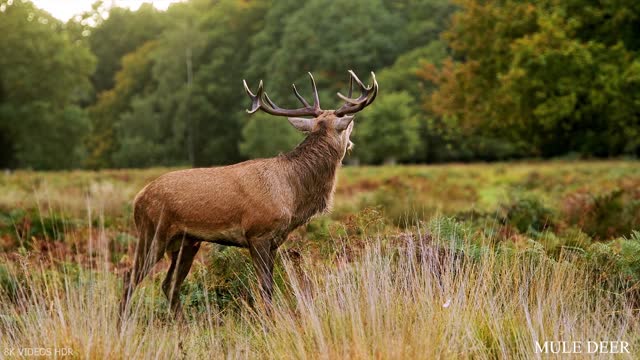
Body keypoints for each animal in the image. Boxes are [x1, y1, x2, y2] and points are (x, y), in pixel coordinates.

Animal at [118, 69, 378, 322]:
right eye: (348, 128)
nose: (352, 143)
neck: (293, 195)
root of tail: (138, 199)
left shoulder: (274, 241)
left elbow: (270, 285)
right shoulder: (258, 233)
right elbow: (266, 287)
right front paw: (270, 323)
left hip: (186, 242)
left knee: (169, 284)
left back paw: (182, 327)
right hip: (152, 232)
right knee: (130, 278)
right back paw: (122, 324)